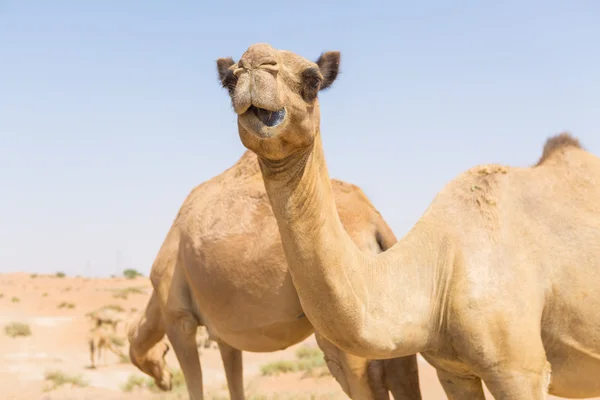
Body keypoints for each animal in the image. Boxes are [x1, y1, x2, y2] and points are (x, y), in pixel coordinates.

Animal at [125, 149, 422, 400]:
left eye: (163, 351)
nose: (165, 381)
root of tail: (375, 222)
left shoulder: (178, 318)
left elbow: (195, 387)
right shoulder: (224, 334)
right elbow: (235, 383)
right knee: (401, 371)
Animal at [216, 42, 600, 398]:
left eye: (312, 80)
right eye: (229, 81)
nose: (254, 62)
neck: (437, 275)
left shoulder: (519, 369)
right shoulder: (452, 371)